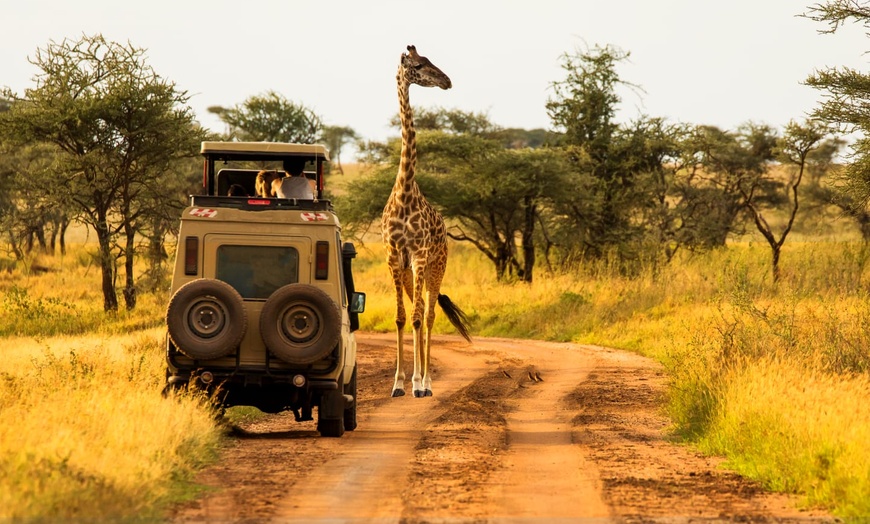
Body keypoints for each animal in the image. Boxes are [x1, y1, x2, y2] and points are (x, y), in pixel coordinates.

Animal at [384, 45, 474, 398]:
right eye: (419, 65)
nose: (447, 81)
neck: (405, 191)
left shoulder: (420, 256)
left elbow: (419, 317)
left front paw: (418, 383)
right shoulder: (395, 257)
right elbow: (400, 317)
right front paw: (397, 383)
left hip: (437, 267)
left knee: (431, 313)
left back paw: (428, 382)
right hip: (412, 272)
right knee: (419, 310)